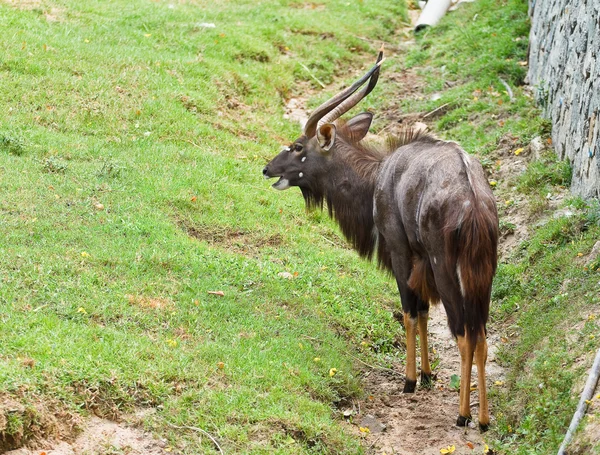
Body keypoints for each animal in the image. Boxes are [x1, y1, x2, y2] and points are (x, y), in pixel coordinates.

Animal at [262, 50, 496, 432]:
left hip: (447, 270)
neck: (379, 176)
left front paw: (411, 380)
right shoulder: (420, 262)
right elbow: (423, 311)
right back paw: (485, 419)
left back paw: (463, 415)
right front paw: (428, 375)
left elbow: (410, 312)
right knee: (482, 336)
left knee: (465, 334)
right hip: (483, 275)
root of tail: (473, 201)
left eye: (297, 146)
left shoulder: (401, 252)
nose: (268, 169)